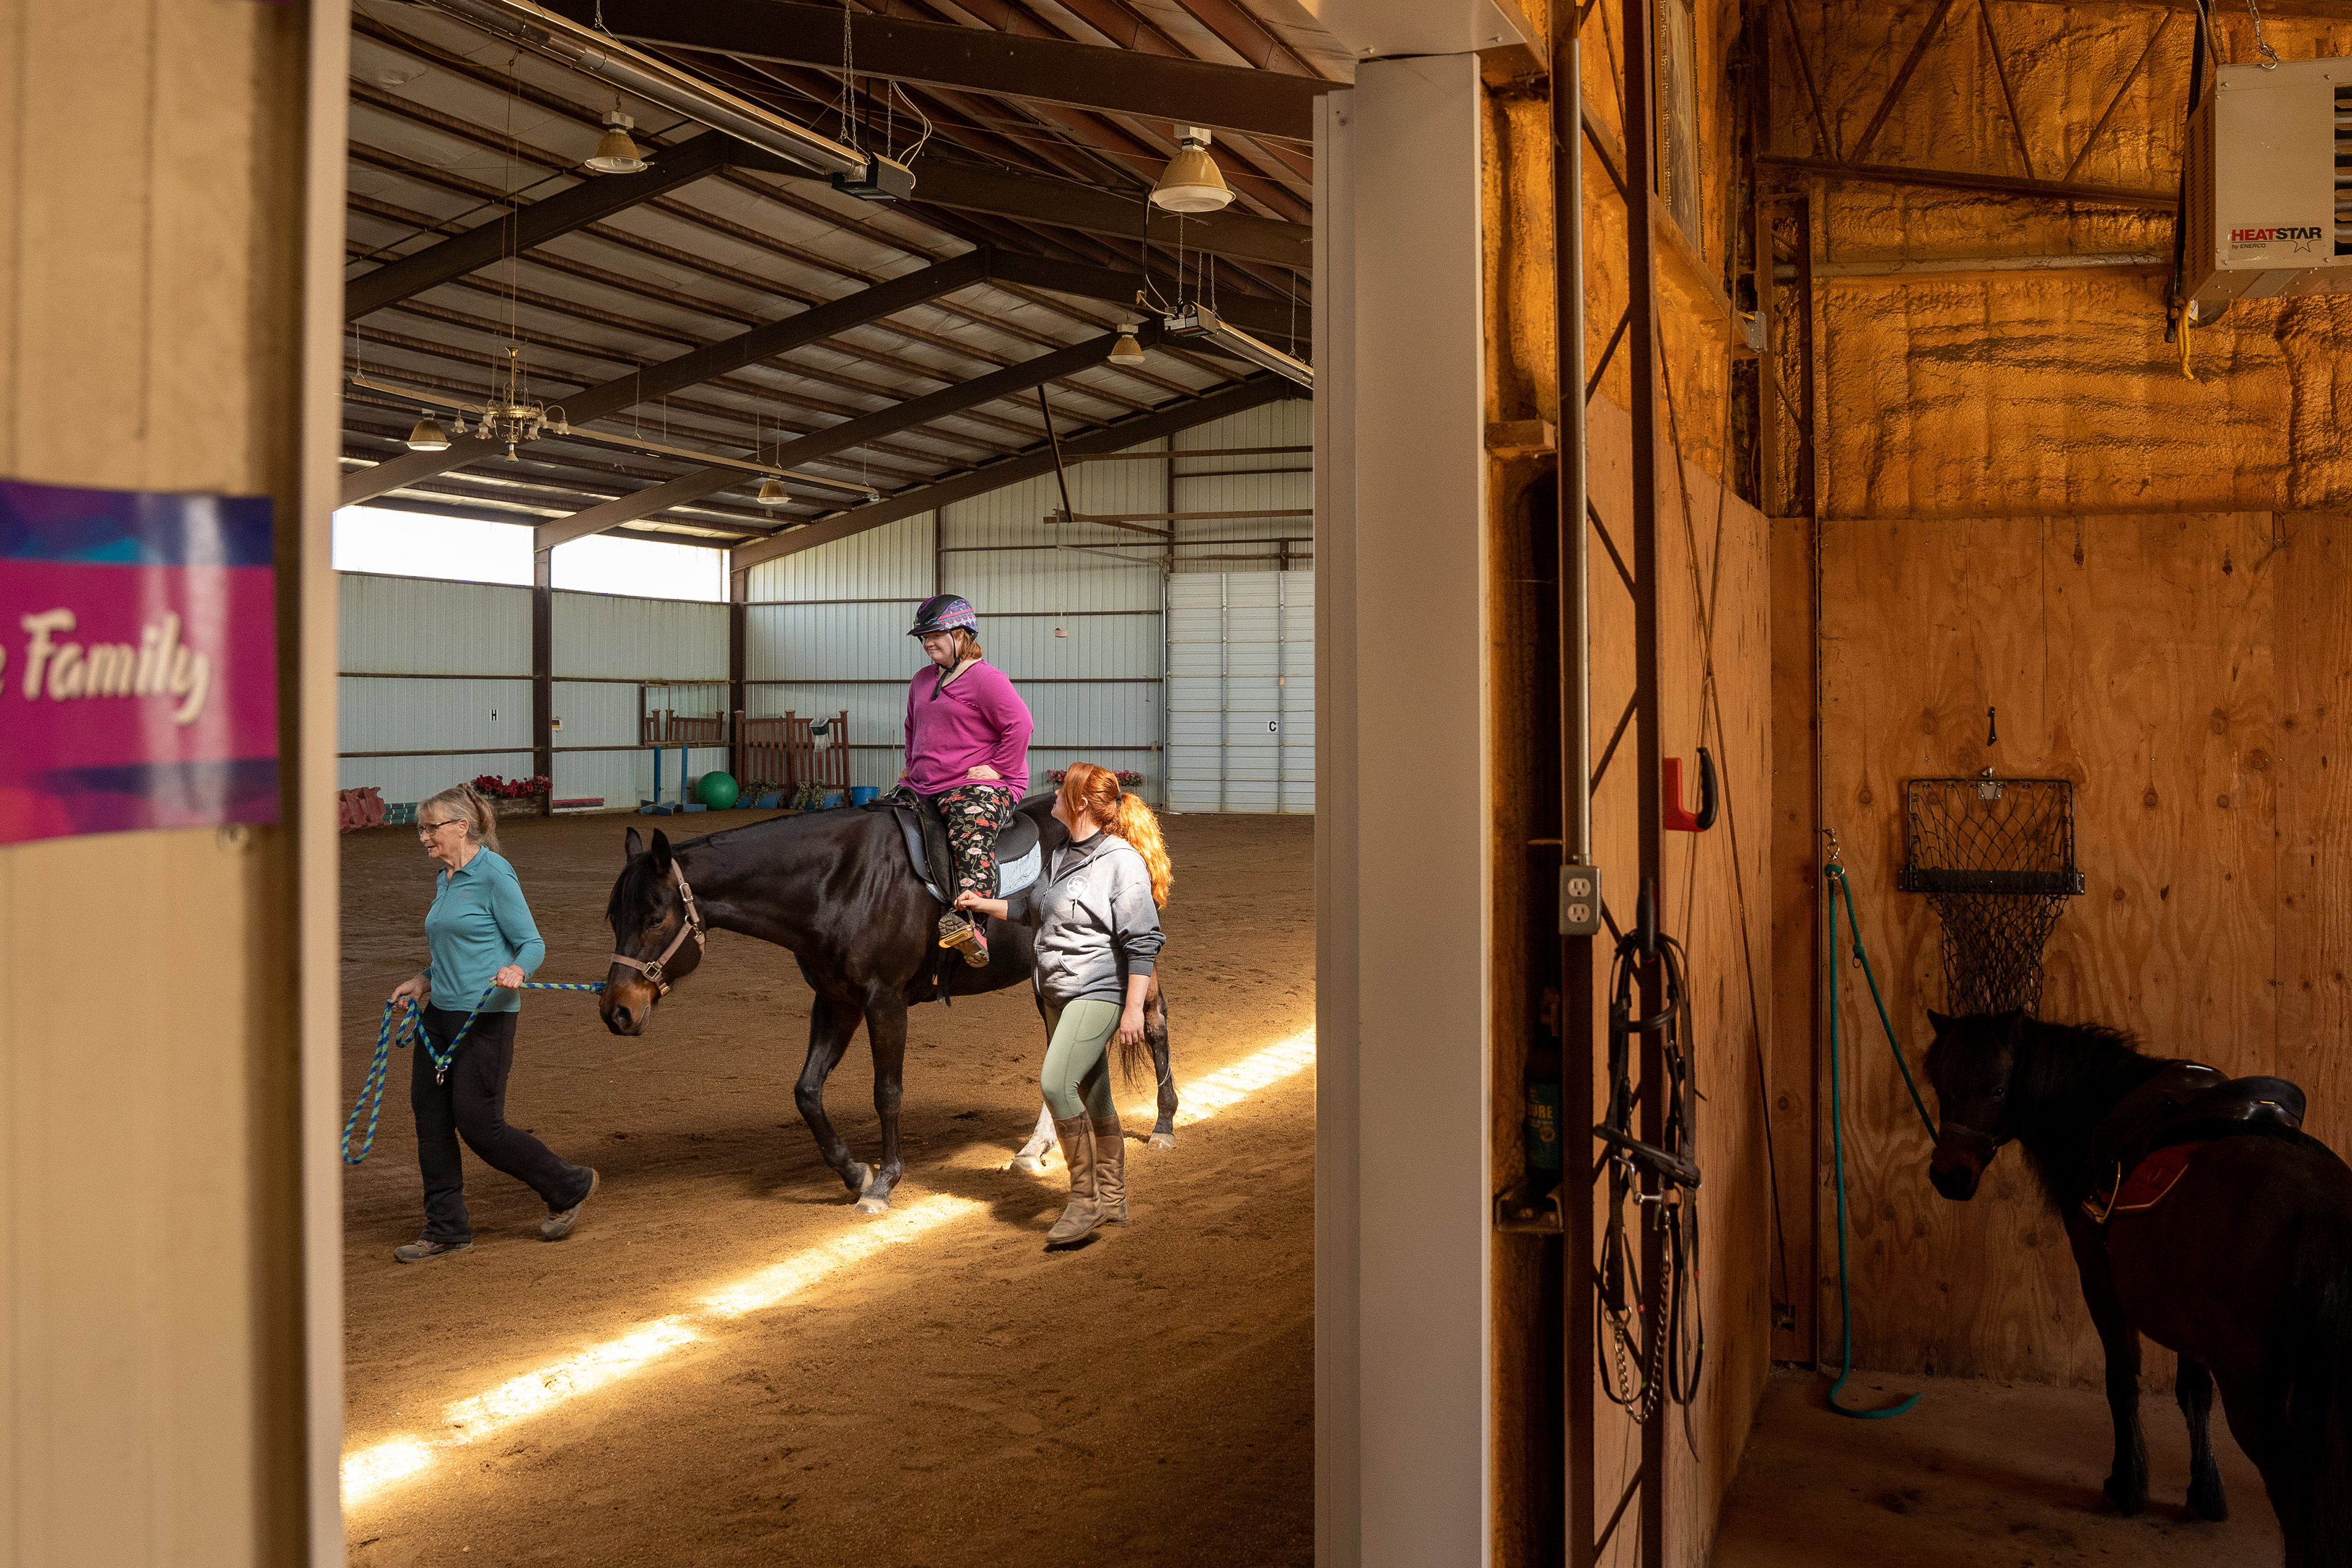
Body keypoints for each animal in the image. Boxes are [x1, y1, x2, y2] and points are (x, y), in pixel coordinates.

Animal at [602, 804, 1176, 1222]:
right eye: (613, 917)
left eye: (655, 917)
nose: (617, 1011)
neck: (840, 884)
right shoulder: (836, 1000)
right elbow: (807, 1092)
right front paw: (853, 1171)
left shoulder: (885, 1000)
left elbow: (887, 1093)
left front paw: (881, 1182)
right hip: (1053, 977)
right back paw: (1035, 1148)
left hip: (1121, 958)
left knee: (1152, 1022)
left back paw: (1163, 1124)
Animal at [1928, 1011, 2352, 1561]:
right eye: (1941, 1085)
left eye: (1998, 1088)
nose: (1949, 1177)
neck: (2103, 1108)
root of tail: (2320, 1211)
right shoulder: (2188, 1320)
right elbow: (2194, 1394)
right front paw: (2204, 1492)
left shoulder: (2099, 1280)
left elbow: (2122, 1380)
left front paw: (2127, 1485)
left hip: (2261, 1406)